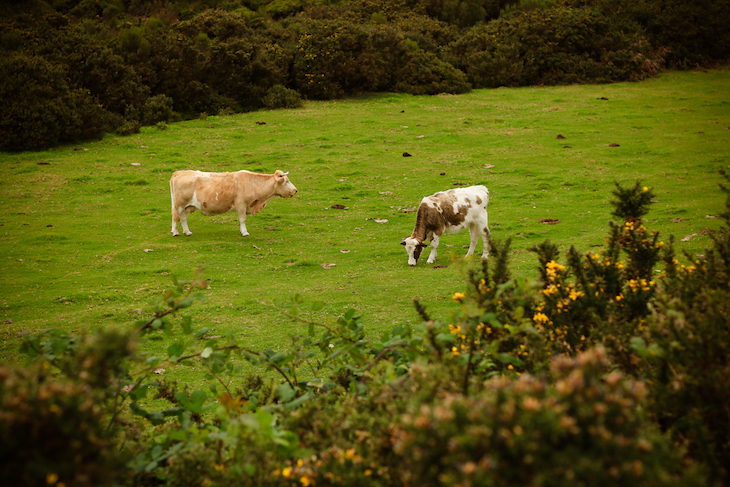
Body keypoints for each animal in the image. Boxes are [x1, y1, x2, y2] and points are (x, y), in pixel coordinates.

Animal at [168, 170, 296, 238]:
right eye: (287, 181)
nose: (296, 190)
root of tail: (178, 172)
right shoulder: (241, 205)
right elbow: (242, 219)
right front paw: (244, 232)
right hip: (179, 205)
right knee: (175, 217)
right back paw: (175, 232)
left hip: (187, 206)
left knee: (183, 218)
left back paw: (187, 232)